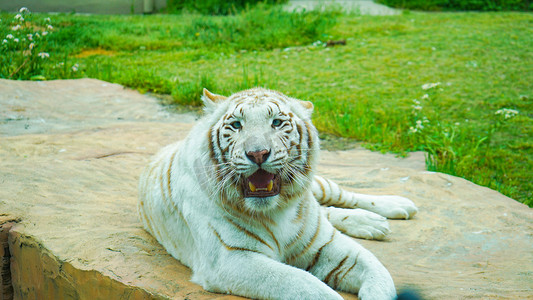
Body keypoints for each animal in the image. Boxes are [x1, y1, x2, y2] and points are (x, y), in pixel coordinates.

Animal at [138, 88, 420, 298]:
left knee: (339, 198)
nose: (258, 153)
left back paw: (392, 208)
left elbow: (378, 273)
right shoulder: (232, 259)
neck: (277, 211)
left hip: (319, 186)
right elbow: (306, 285)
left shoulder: (326, 243)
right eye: (236, 125)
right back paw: (374, 223)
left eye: (276, 122)